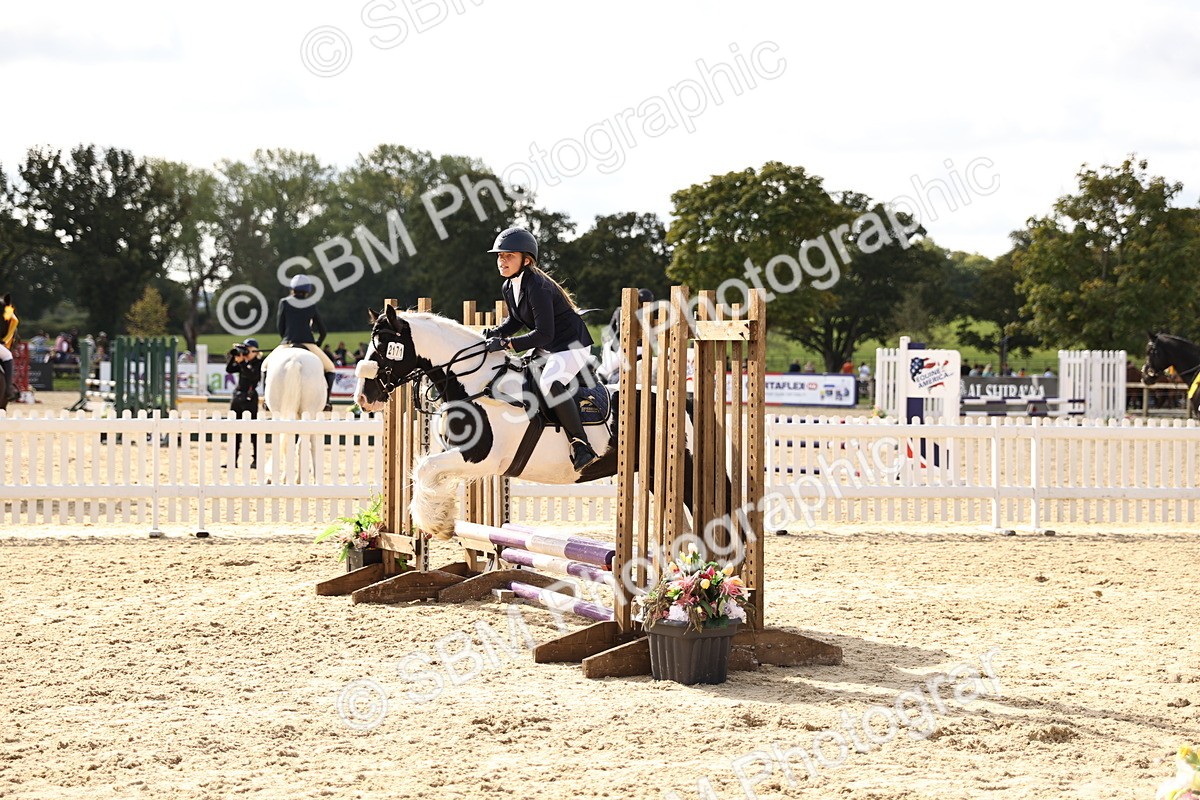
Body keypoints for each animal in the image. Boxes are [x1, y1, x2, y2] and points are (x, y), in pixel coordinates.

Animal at [261, 345, 328, 483]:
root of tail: (295, 360)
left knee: (284, 441)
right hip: (310, 413)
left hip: (278, 412)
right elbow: (307, 444)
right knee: (305, 443)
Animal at [353, 305, 703, 541]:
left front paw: (437, 525)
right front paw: (442, 516)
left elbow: (426, 469)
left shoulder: (479, 458)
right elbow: (425, 469)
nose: (363, 398)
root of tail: (684, 397)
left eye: (383, 348)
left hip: (685, 468)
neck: (474, 383)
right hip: (656, 473)